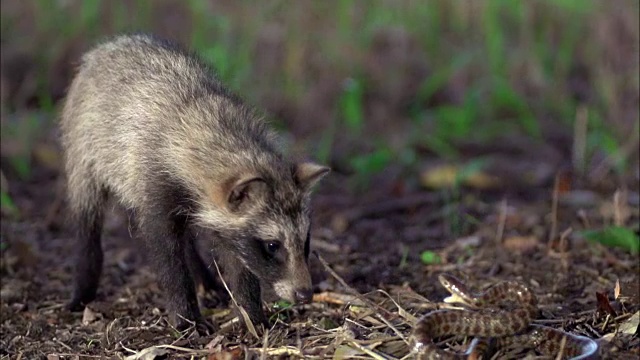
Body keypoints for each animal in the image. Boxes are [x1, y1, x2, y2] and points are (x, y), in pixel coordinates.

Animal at [58, 34, 330, 334]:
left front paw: (251, 312)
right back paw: (85, 281)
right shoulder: (155, 180)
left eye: (305, 239)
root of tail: (109, 46)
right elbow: (168, 255)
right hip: (83, 145)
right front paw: (186, 314)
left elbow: (236, 260)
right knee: (88, 217)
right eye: (272, 246)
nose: (305, 294)